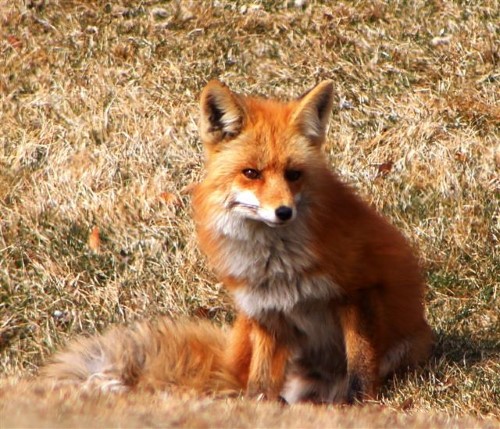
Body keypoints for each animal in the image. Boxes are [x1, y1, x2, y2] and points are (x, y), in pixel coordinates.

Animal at [44, 81, 434, 404]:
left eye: (294, 175)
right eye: (251, 173)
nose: (283, 212)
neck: (277, 266)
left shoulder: (359, 290)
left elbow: (360, 370)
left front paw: (357, 407)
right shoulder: (265, 313)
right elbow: (260, 386)